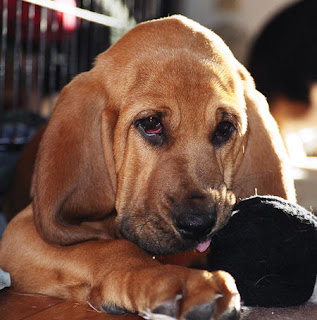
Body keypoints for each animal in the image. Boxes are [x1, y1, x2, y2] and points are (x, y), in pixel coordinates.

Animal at [0, 15, 294, 320]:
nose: (198, 225)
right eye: (151, 123)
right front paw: (178, 281)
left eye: (224, 128)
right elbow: (109, 249)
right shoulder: (19, 232)